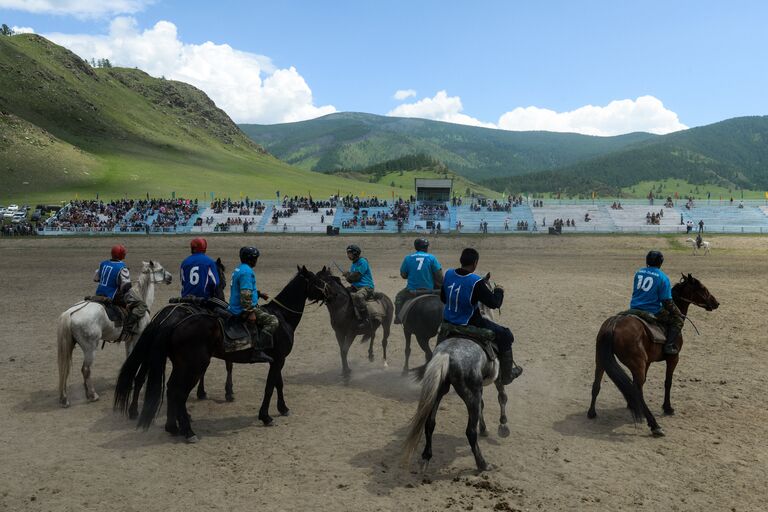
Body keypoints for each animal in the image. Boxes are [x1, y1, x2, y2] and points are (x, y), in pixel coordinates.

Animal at [55, 260, 172, 408]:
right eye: (160, 269)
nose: (170, 277)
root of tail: (70, 312)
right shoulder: (138, 337)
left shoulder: (129, 340)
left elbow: (129, 357)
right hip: (90, 349)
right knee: (86, 369)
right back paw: (92, 395)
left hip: (69, 345)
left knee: (65, 370)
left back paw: (65, 398)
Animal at [114, 266, 328, 442]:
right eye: (318, 280)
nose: (329, 293)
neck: (281, 317)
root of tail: (174, 323)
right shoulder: (279, 359)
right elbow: (269, 387)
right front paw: (266, 416)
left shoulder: (277, 359)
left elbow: (278, 384)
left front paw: (282, 408)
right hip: (195, 366)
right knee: (178, 392)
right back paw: (188, 432)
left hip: (181, 365)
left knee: (171, 388)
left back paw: (173, 427)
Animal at [402, 276, 510, 472]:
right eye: (491, 288)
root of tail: (445, 355)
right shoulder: (496, 379)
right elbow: (502, 397)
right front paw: (503, 425)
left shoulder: (479, 386)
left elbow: (483, 405)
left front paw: (485, 428)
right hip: (469, 393)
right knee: (470, 432)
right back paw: (482, 464)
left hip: (438, 391)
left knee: (430, 423)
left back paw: (426, 456)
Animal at [588, 274, 720, 438]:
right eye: (701, 288)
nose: (716, 303)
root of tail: (614, 324)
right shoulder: (673, 359)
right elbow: (668, 382)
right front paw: (667, 408)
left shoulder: (648, 362)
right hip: (636, 363)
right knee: (636, 389)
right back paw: (654, 425)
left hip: (602, 361)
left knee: (597, 384)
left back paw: (592, 412)